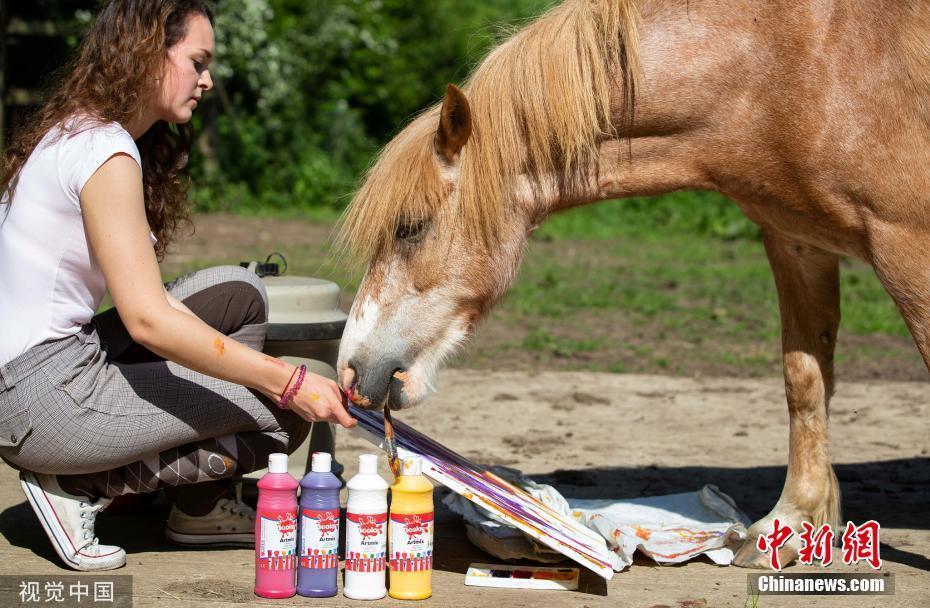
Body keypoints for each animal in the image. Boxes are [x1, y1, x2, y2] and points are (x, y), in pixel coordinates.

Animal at [334, 1, 928, 568]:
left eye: (410, 226)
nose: (350, 370)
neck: (791, 63)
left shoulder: (906, 246)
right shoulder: (796, 242)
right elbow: (803, 382)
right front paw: (789, 523)